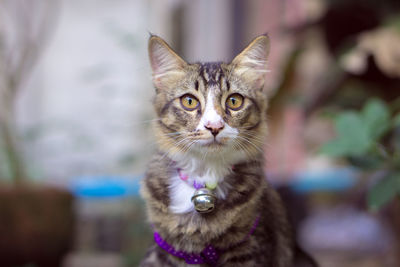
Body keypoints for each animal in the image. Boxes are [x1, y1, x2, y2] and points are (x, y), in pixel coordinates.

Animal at [141, 34, 316, 266]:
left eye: (234, 101)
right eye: (189, 101)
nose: (214, 126)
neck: (205, 176)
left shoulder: (250, 249)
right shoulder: (167, 252)